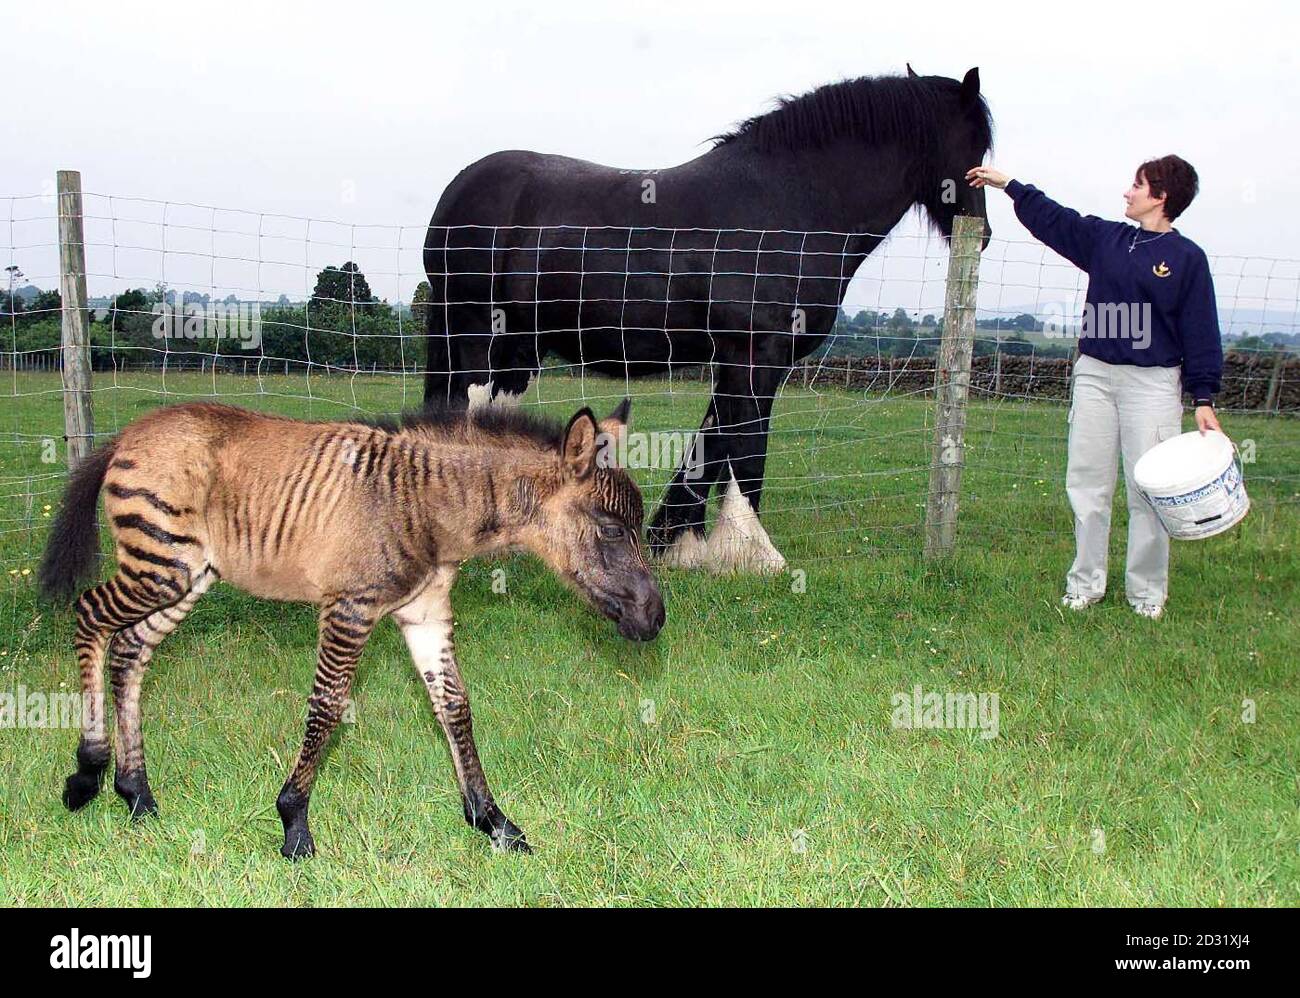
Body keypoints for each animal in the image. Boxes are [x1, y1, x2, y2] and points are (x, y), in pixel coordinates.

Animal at [38, 398, 662, 858]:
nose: (655, 620)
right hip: (160, 563)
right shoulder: (349, 607)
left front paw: (494, 822)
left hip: (187, 576)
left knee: (130, 649)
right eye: (611, 530)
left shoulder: (425, 612)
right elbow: (328, 706)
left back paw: (137, 795)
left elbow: (455, 707)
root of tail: (130, 432)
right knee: (90, 616)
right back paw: (87, 775)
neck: (427, 507)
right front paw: (294, 826)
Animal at [421, 65, 994, 572]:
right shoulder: (757, 355)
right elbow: (745, 448)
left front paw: (680, 545)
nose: (982, 231)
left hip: (518, 343)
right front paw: (753, 555)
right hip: (474, 332)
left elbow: (711, 443)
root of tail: (456, 193)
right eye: (977, 144)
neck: (790, 207)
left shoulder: (736, 359)